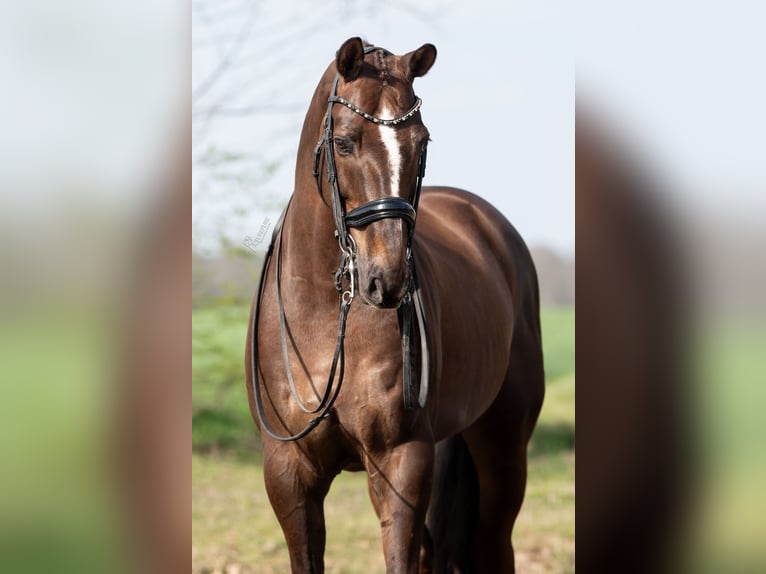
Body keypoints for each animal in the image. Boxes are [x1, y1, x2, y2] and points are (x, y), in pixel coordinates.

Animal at [245, 37, 545, 573]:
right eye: (344, 142)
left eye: (421, 143)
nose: (387, 280)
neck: (327, 319)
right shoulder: (288, 474)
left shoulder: (401, 460)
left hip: (504, 450)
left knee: (494, 541)